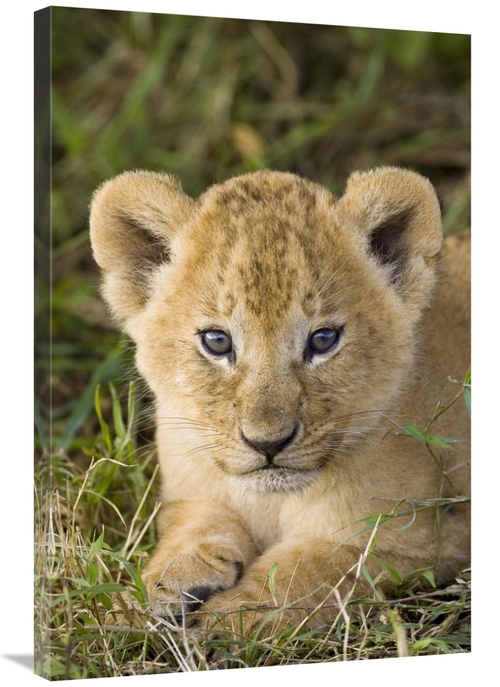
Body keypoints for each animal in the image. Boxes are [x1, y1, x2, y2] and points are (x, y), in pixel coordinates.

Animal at [89, 166, 470, 635]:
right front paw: (157, 588)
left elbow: (303, 573)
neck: (269, 502)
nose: (267, 444)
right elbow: (192, 529)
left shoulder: (417, 539)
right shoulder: (190, 494)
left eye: (323, 339)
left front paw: (223, 623)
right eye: (216, 341)